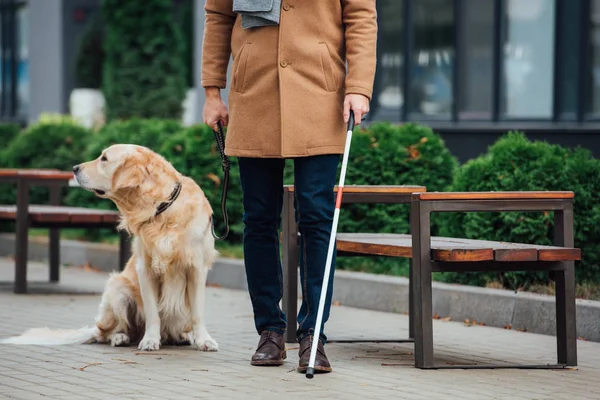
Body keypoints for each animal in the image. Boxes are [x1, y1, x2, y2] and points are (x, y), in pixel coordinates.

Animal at [0, 145, 220, 352]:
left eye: (104, 158)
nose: (74, 168)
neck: (162, 209)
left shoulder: (196, 269)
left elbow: (197, 314)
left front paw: (204, 340)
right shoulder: (146, 269)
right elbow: (153, 313)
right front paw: (150, 340)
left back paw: (182, 336)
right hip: (117, 290)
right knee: (105, 333)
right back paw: (120, 338)